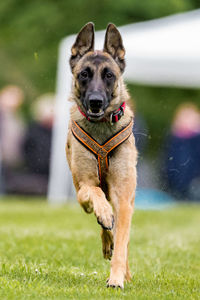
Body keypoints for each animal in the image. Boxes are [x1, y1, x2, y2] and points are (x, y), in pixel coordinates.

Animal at [66, 22, 138, 290]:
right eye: (84, 74)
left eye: (109, 75)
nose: (96, 102)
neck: (101, 126)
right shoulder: (83, 189)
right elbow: (95, 194)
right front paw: (104, 214)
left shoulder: (124, 197)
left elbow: (123, 241)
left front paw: (117, 278)